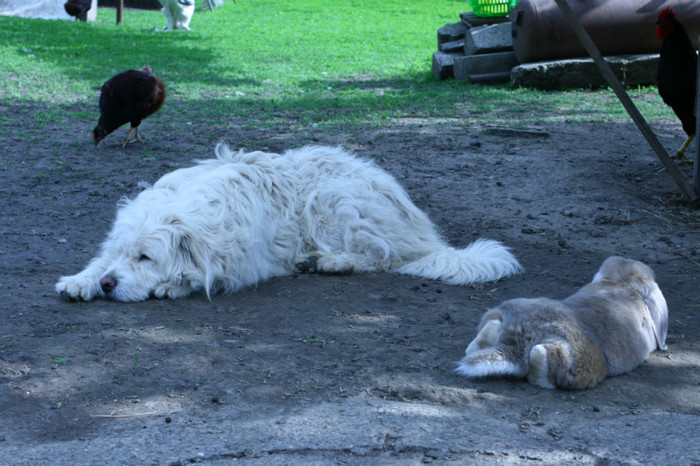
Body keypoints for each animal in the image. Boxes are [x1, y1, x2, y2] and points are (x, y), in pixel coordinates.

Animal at [54, 146, 524, 304]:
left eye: (146, 257)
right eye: (121, 254)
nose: (110, 284)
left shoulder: (243, 261)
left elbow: (207, 274)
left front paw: (174, 284)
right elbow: (94, 261)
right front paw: (82, 280)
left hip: (333, 198)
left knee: (383, 256)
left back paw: (330, 262)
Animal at [456, 256, 668, 392]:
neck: (619, 283)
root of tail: (519, 338)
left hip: (502, 312)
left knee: (489, 329)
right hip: (584, 361)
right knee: (543, 357)